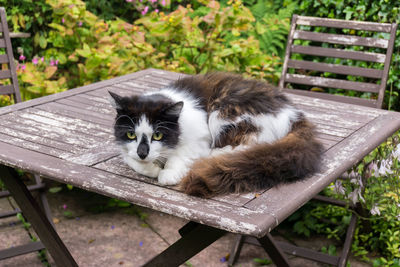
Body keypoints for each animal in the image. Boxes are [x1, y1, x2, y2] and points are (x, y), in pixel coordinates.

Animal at [108, 72, 322, 198]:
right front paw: (150, 167)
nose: (143, 152)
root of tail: (293, 113)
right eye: (130, 135)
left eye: (158, 136)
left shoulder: (200, 136)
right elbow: (131, 160)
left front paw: (167, 173)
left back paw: (216, 156)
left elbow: (180, 155)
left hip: (223, 111)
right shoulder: (126, 149)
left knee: (252, 144)